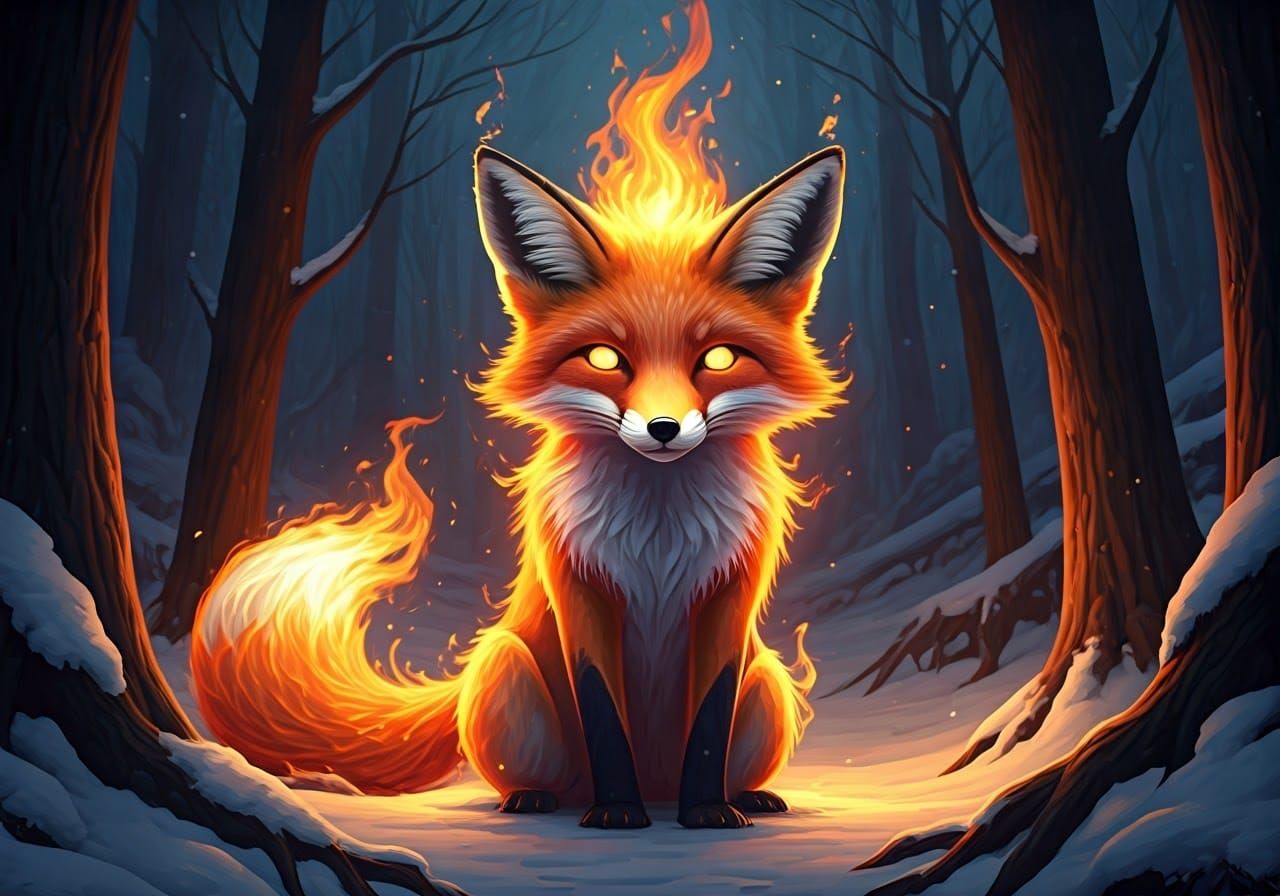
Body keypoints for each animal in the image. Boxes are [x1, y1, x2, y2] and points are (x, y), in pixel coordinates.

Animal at [192, 143, 847, 830]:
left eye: (718, 359)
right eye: (605, 358)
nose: (663, 429)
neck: (659, 533)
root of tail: (658, 783)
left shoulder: (729, 592)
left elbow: (710, 720)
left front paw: (708, 810)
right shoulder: (579, 588)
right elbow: (602, 713)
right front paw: (618, 810)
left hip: (769, 681)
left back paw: (747, 795)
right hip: (504, 662)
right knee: (541, 777)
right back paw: (535, 797)